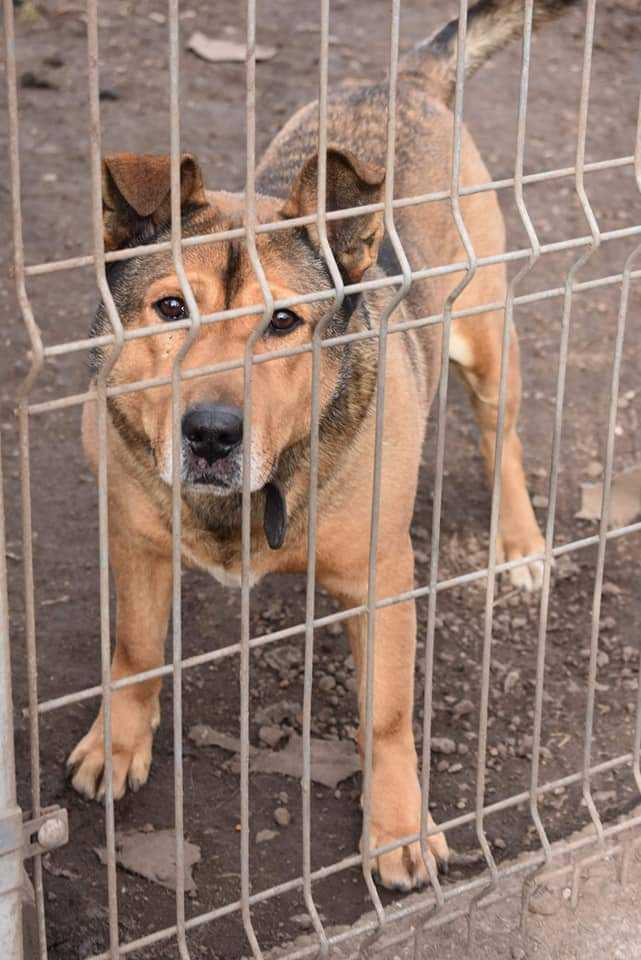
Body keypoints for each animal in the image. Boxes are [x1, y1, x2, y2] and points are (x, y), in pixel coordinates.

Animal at [67, 0, 576, 892]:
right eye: (170, 309)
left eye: (283, 322)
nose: (211, 433)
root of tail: (401, 81)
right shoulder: (136, 538)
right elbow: (134, 647)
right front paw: (118, 741)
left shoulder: (381, 579)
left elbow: (388, 713)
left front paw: (398, 826)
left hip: (487, 341)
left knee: (501, 437)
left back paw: (518, 542)